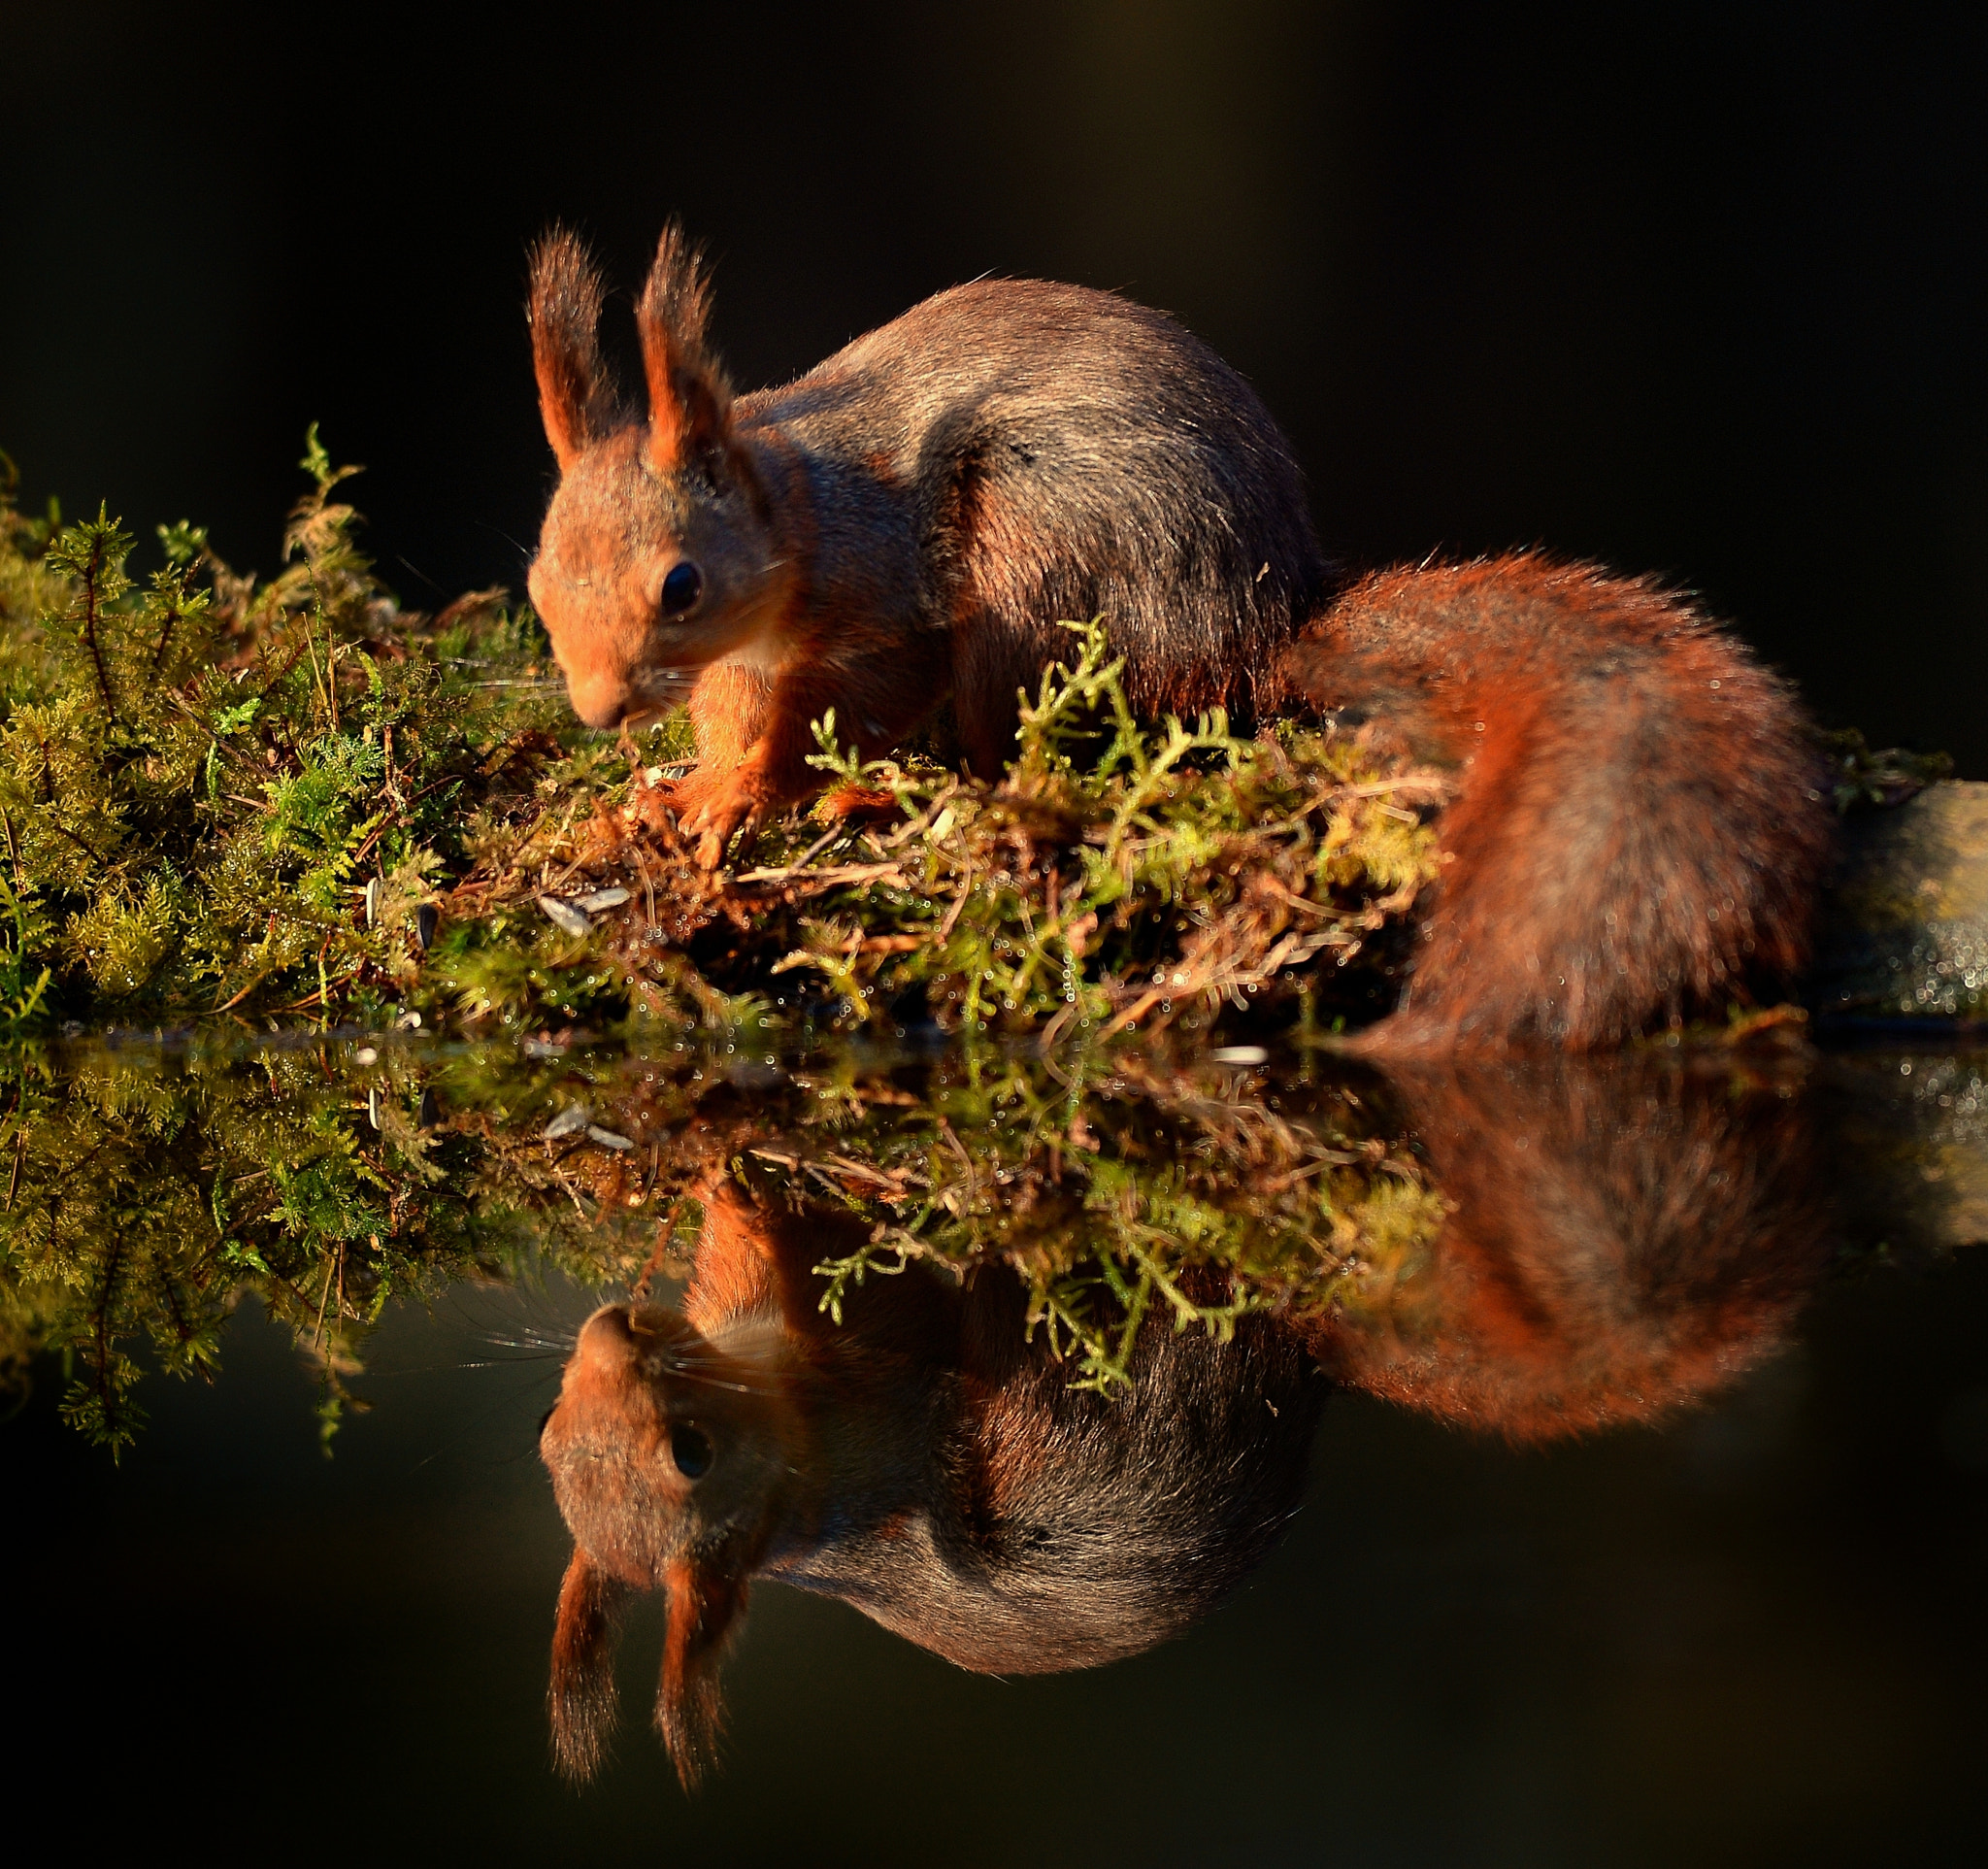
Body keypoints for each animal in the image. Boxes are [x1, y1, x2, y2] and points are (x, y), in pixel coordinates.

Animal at [524, 224, 1319, 862]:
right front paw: (695, 787)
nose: (599, 712)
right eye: (538, 588)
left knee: (1003, 761)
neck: (804, 512)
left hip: (1040, 561)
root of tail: (1266, 623)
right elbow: (731, 715)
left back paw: (896, 802)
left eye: (681, 586)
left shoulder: (885, 598)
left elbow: (854, 707)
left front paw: (742, 790)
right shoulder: (740, 664)